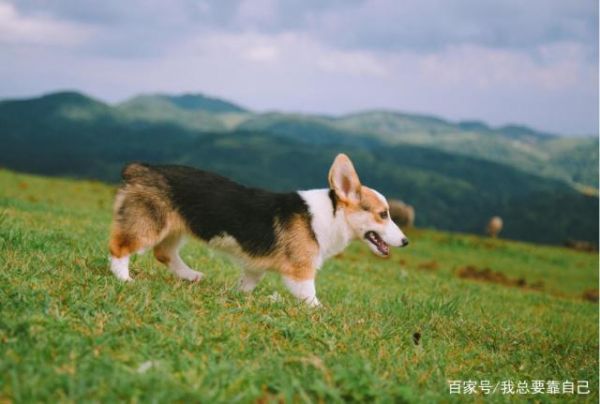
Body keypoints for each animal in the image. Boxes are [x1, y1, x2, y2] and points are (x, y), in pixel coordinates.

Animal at [108, 153, 409, 306]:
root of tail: (139, 169)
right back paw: (124, 278)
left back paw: (191, 275)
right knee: (119, 247)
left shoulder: (255, 268)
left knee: (164, 253)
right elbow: (310, 296)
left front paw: (237, 295)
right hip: (148, 224)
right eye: (383, 214)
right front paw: (321, 312)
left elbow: (248, 283)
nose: (405, 241)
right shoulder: (300, 272)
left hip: (175, 229)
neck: (330, 216)